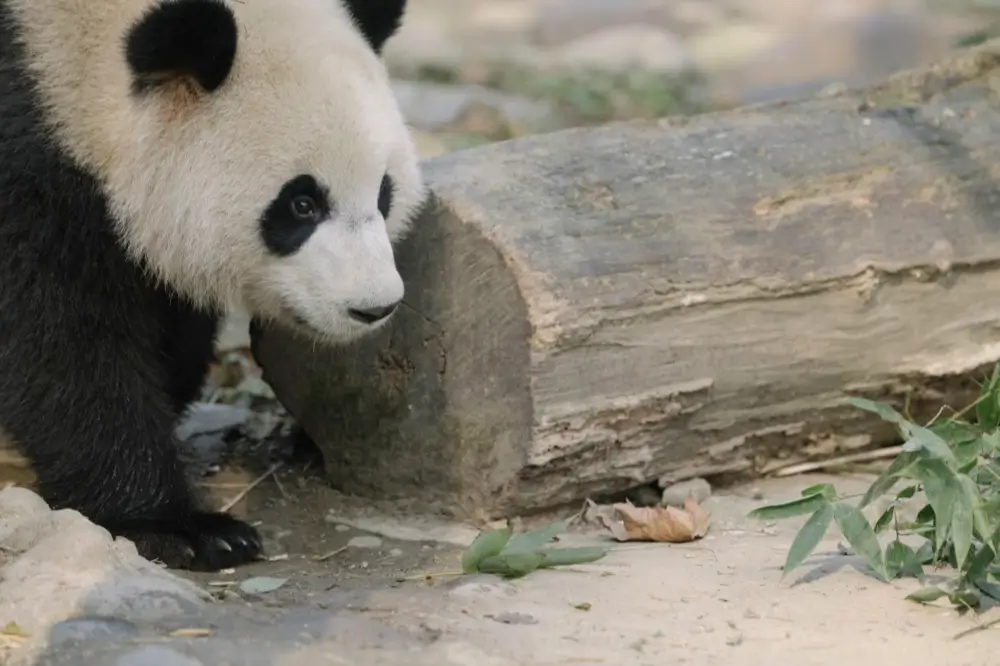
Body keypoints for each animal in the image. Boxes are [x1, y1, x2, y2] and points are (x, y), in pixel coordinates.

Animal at [0, 0, 425, 571]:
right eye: (301, 204)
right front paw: (181, 528)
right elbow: (60, 336)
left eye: (383, 192)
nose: (373, 307)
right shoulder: (24, 154)